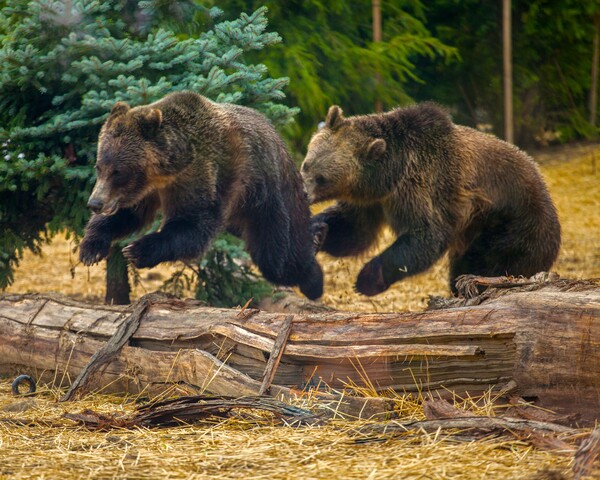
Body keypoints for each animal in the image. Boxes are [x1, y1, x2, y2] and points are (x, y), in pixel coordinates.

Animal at [302, 103, 560, 294]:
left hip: (511, 227)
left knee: (489, 263)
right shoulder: (371, 201)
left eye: (322, 179)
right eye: (306, 164)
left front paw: (366, 279)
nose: (304, 193)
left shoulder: (419, 187)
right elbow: (354, 230)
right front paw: (316, 232)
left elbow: (426, 235)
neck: (388, 175)